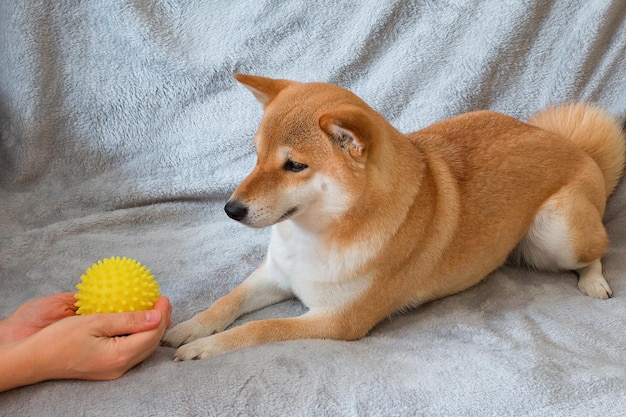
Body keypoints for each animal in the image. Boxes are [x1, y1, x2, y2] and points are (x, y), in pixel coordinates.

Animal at [162, 73, 624, 360]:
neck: (318, 234)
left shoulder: (338, 322)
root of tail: (575, 147)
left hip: (558, 233)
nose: (231, 209)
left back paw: (593, 280)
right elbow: (227, 302)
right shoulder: (275, 275)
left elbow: (259, 330)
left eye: (294, 166)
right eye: (256, 156)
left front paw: (205, 349)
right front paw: (191, 328)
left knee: (597, 248)